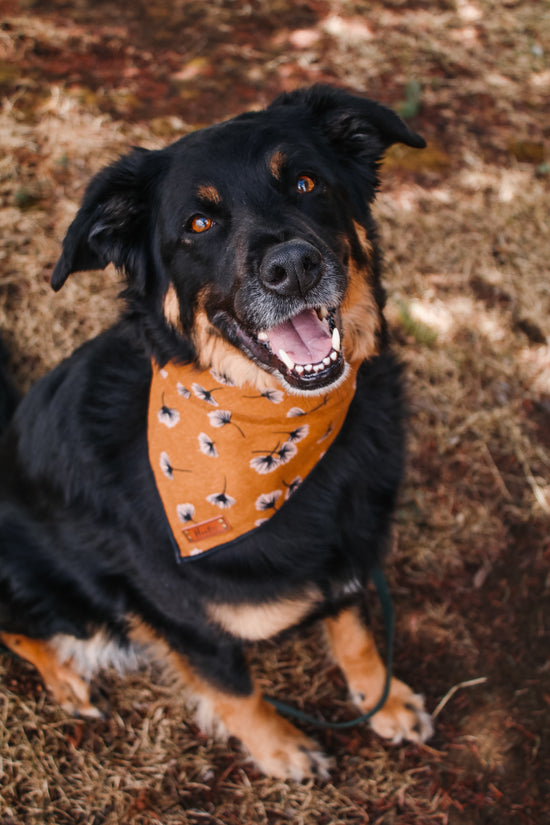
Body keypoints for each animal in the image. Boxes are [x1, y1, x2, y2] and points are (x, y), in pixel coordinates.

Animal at [0, 87, 436, 776]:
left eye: (306, 183)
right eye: (198, 225)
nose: (294, 266)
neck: (277, 432)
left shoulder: (346, 559)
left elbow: (354, 632)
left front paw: (382, 700)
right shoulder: (178, 619)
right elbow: (236, 689)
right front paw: (280, 749)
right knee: (18, 625)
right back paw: (65, 678)